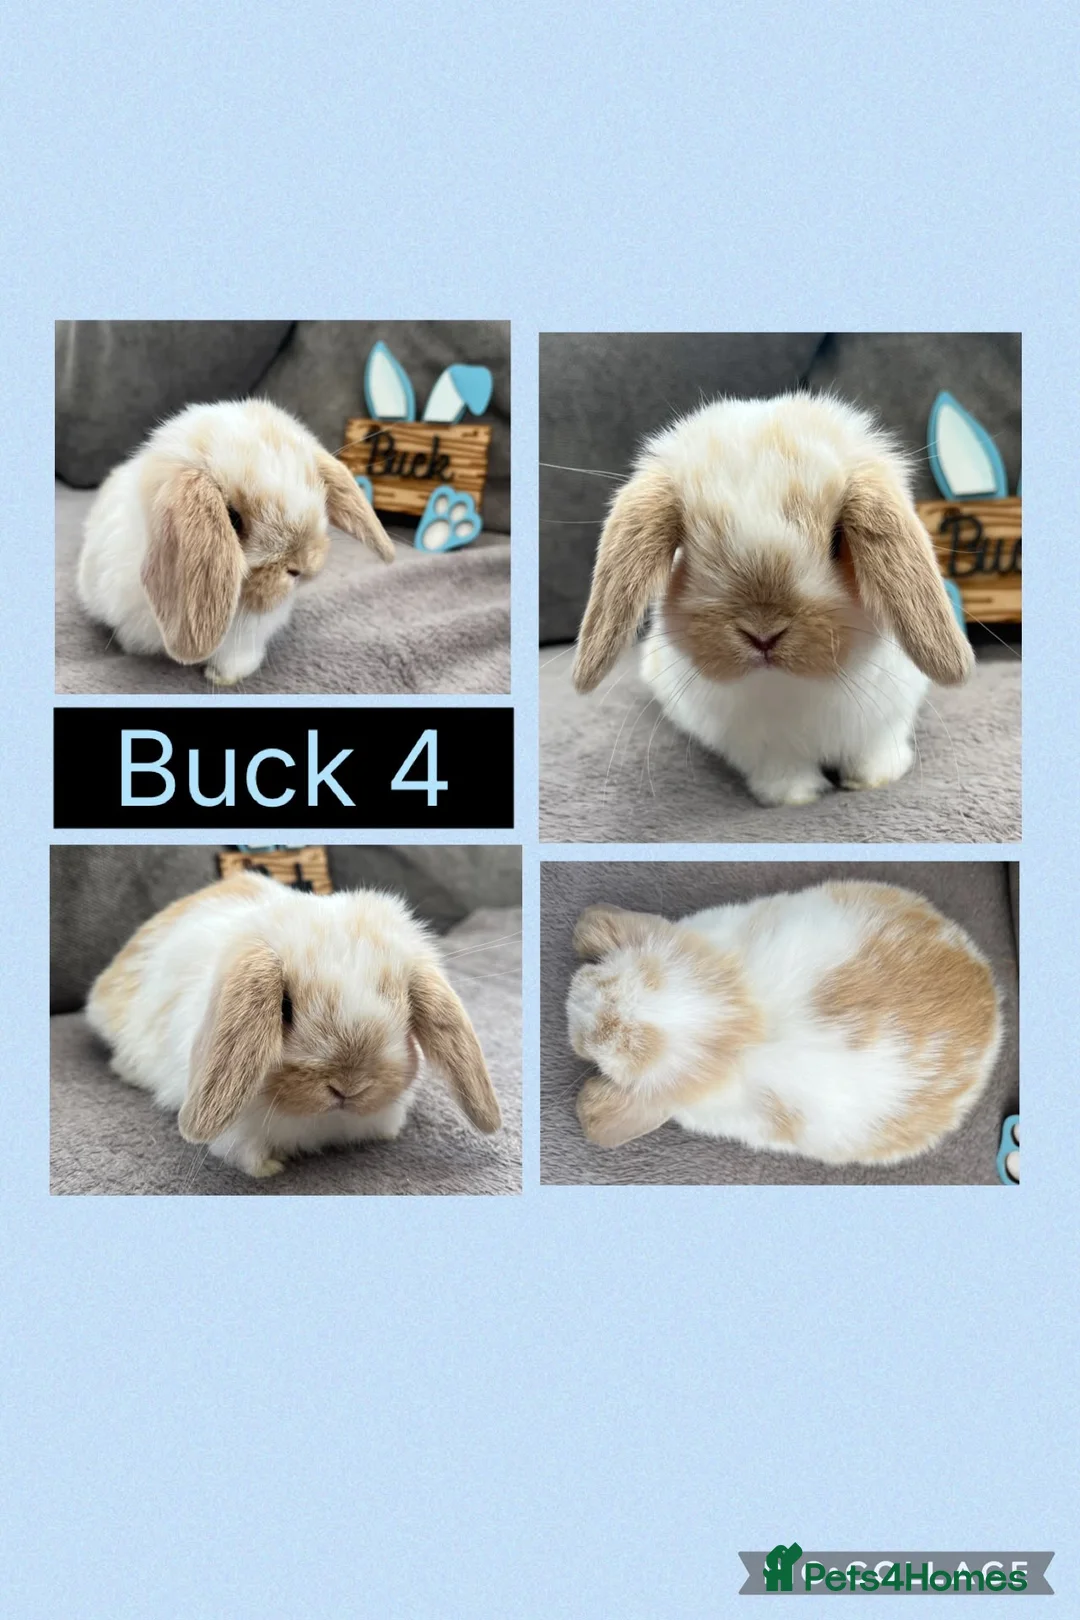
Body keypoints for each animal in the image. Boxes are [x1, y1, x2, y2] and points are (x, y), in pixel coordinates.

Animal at [571, 393, 974, 806]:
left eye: (837, 541)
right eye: (690, 553)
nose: (763, 634)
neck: (788, 685)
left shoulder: (886, 721)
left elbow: (874, 751)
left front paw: (875, 780)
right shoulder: (761, 748)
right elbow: (784, 772)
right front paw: (795, 798)